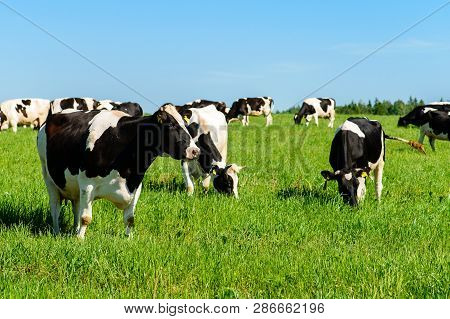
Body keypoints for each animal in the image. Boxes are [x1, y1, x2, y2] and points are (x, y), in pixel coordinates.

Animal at [37, 104, 200, 239]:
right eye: (171, 125)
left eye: (185, 124)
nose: (195, 151)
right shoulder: (87, 184)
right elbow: (86, 217)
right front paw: (80, 240)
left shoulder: (136, 185)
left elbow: (130, 219)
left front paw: (129, 238)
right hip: (47, 175)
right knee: (55, 207)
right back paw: (57, 232)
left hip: (74, 187)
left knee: (75, 207)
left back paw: (74, 229)